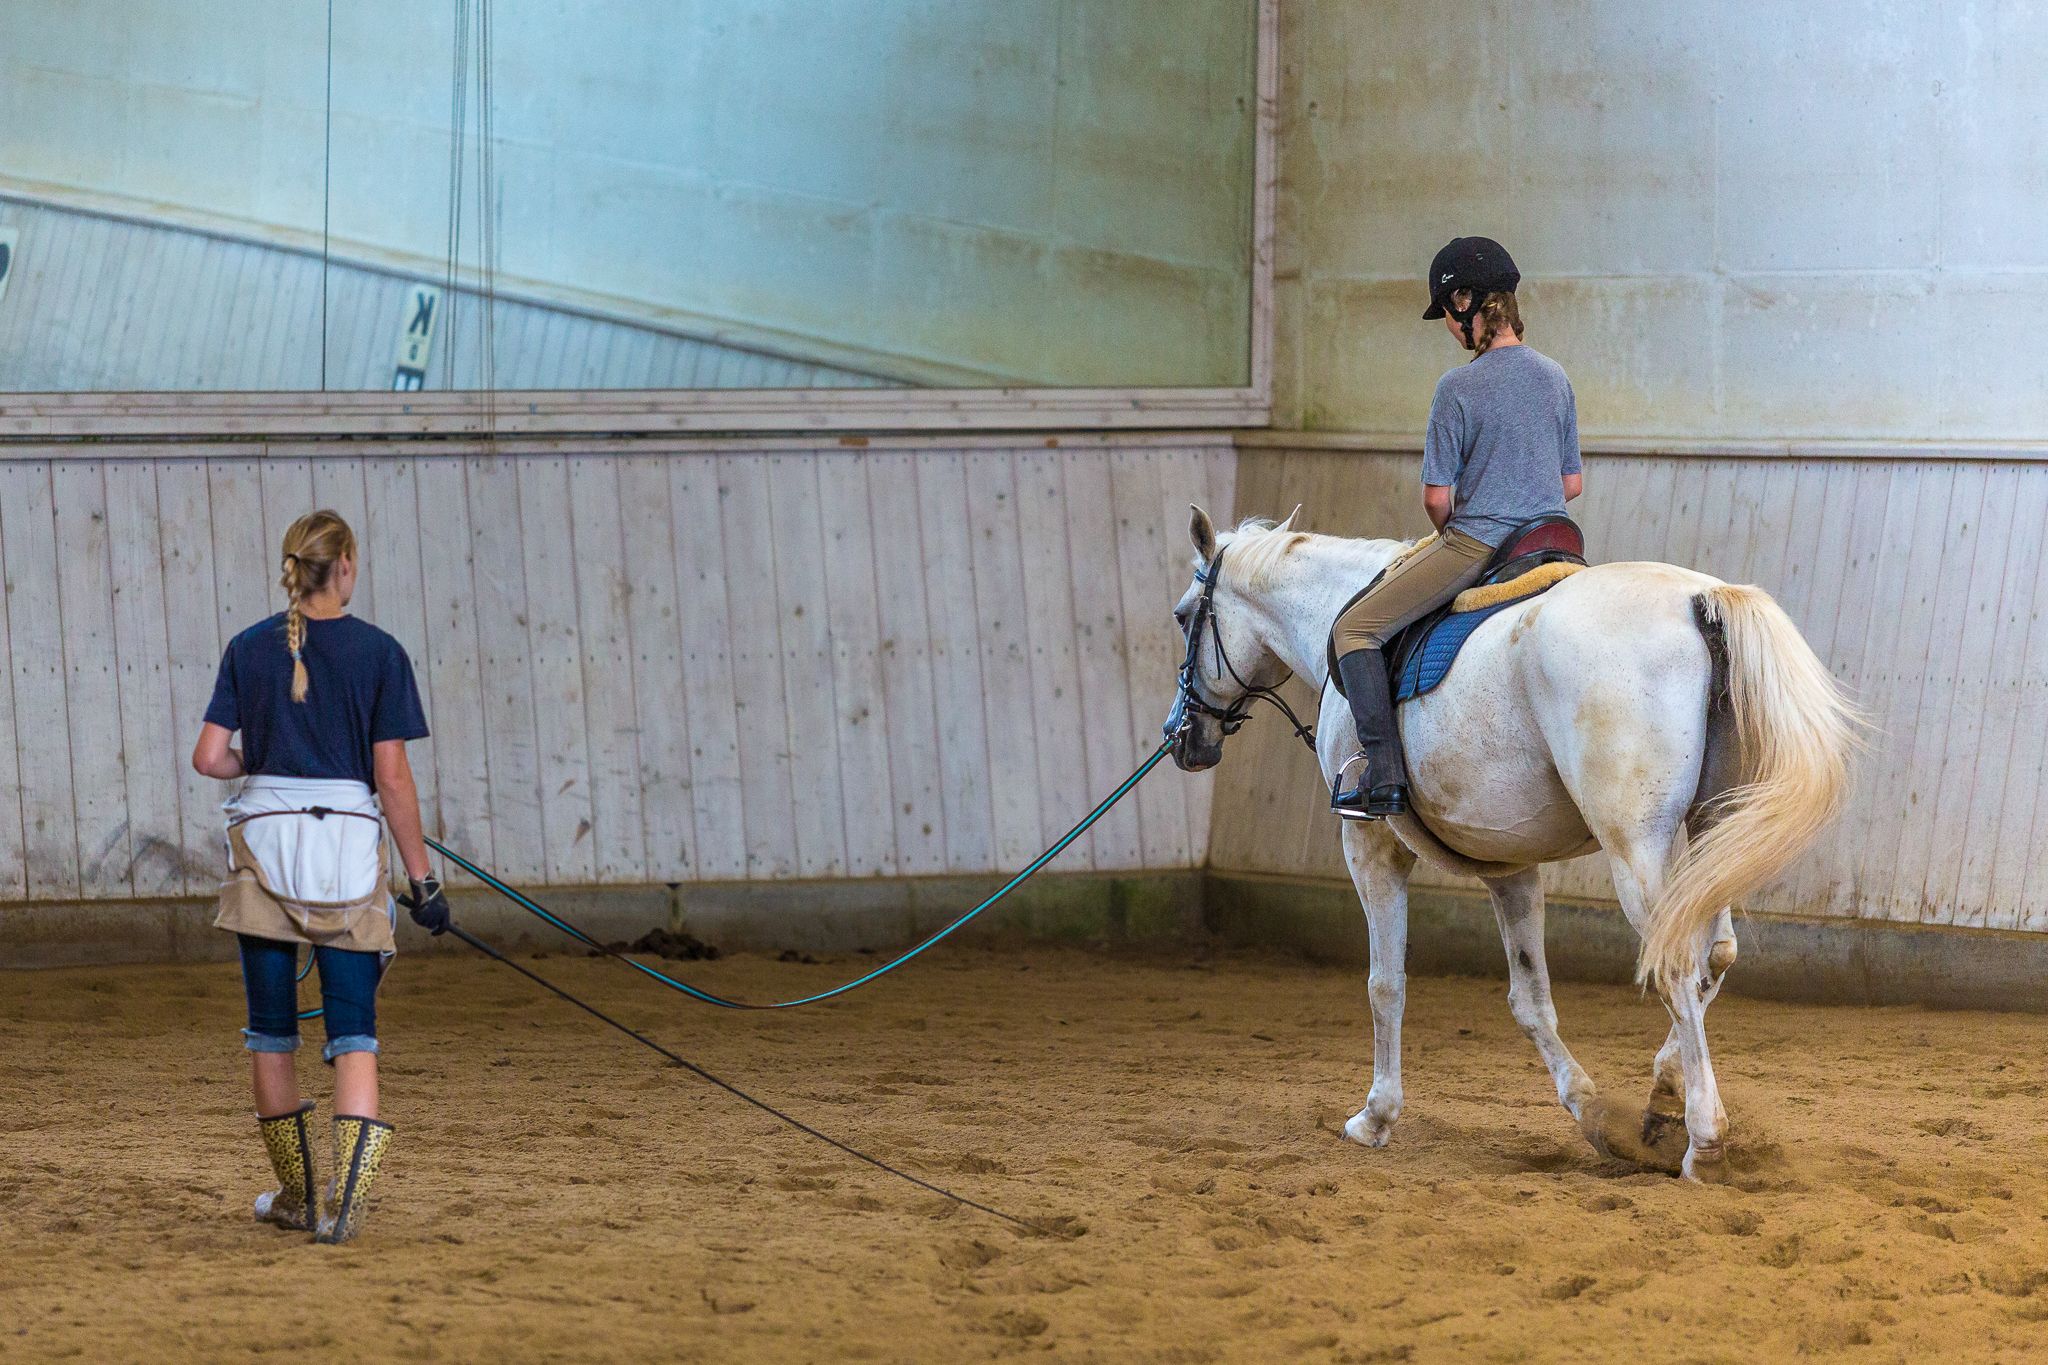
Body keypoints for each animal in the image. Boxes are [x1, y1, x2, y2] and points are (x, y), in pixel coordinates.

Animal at [1163, 507, 1858, 1181]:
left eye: (1183, 616)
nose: (1182, 737)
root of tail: (1699, 598)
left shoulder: (1368, 845)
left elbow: (1386, 985)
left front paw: (1376, 1116)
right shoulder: (1508, 865)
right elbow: (1530, 1001)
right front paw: (1590, 1108)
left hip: (1636, 847)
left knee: (1679, 964)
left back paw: (1704, 1142)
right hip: (1712, 830)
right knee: (1716, 953)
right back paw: (1664, 1096)